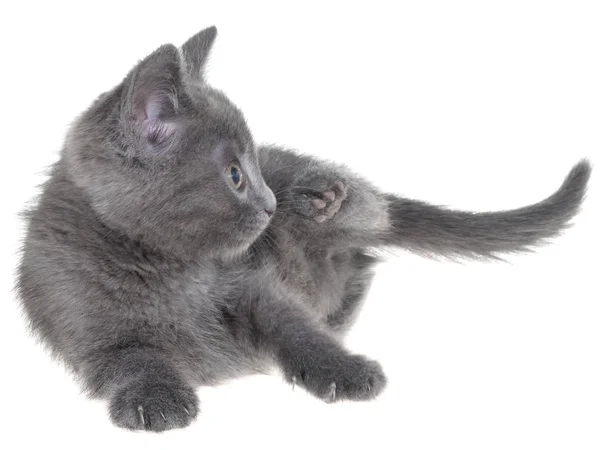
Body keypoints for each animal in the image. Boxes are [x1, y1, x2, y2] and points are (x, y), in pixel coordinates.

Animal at [17, 25, 592, 432]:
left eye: (252, 166)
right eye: (234, 175)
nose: (269, 202)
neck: (169, 267)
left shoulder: (253, 286)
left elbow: (294, 325)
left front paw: (347, 372)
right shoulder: (86, 328)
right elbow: (133, 358)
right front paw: (156, 400)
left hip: (344, 200)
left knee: (369, 216)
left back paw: (317, 196)